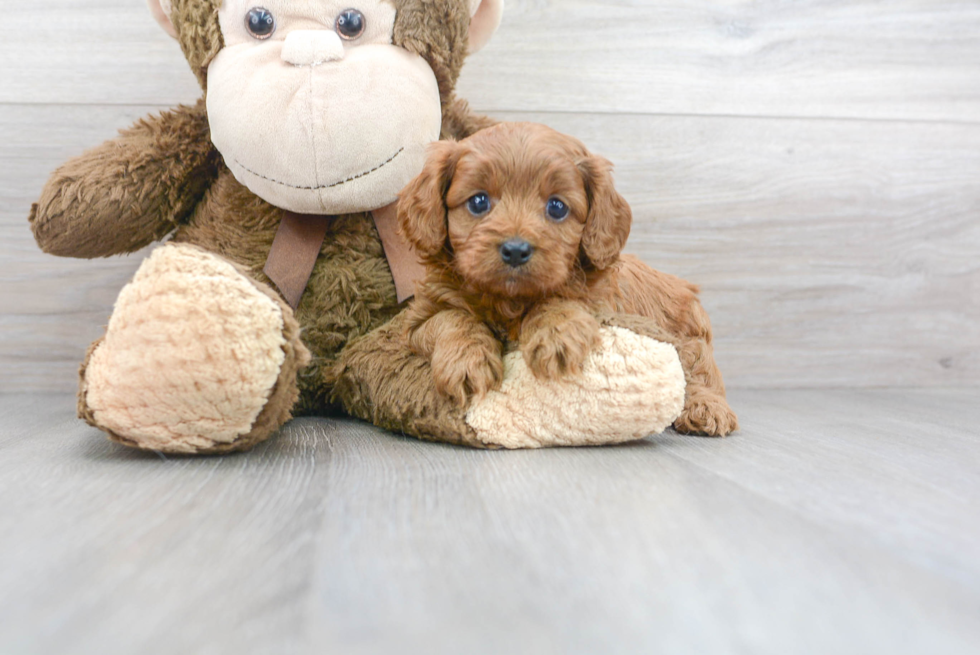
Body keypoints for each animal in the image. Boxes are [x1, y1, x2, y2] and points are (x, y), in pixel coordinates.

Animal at [394, 123, 740, 440]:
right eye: (478, 202)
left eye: (557, 207)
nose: (516, 250)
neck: (509, 300)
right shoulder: (419, 319)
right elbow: (452, 318)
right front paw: (466, 362)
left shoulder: (599, 303)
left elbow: (560, 299)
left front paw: (555, 335)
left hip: (689, 336)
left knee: (701, 372)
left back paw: (707, 409)